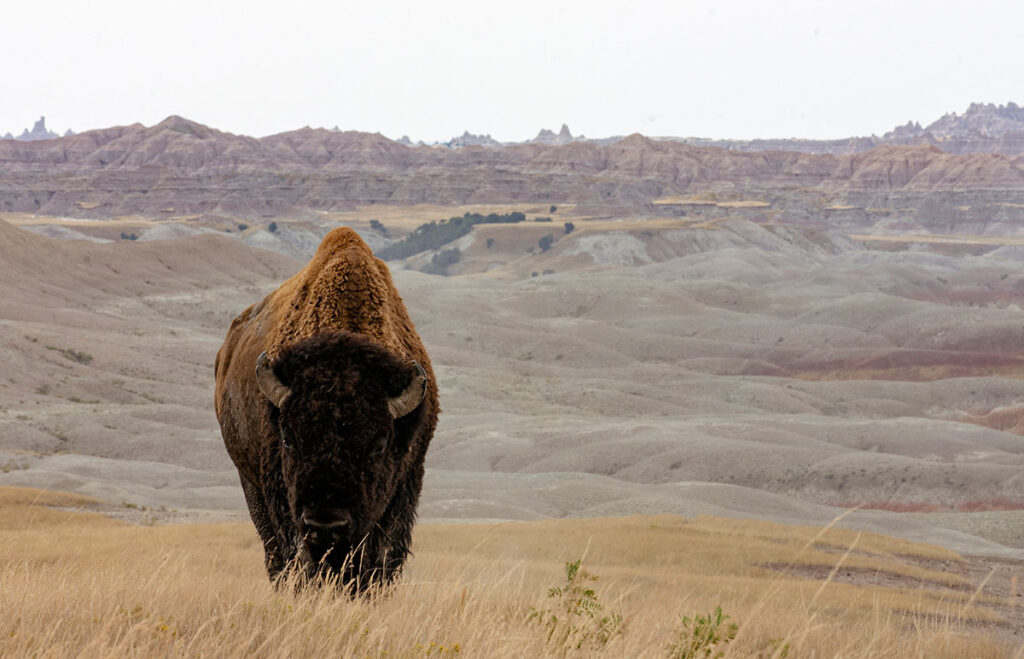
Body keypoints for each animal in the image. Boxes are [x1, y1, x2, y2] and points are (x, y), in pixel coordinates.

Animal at [214, 228, 438, 593]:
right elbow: (302, 557)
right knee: (275, 555)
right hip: (250, 483)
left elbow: (379, 558)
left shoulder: (403, 488)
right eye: (288, 438)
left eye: (378, 444)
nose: (326, 524)